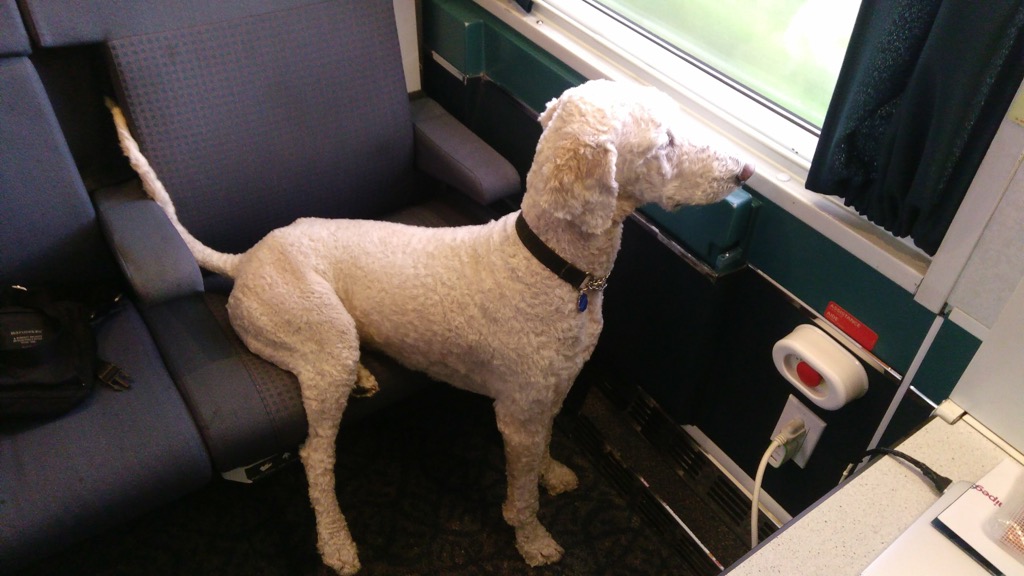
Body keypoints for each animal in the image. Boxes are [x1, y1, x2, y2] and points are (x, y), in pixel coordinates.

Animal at [108, 78, 757, 569]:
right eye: (666, 141)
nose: (745, 171)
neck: (550, 264)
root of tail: (246, 259)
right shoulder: (515, 412)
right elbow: (520, 494)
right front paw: (533, 541)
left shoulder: (551, 389)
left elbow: (546, 445)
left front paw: (551, 473)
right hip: (319, 331)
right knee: (317, 458)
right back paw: (337, 542)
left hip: (330, 345)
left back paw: (365, 380)